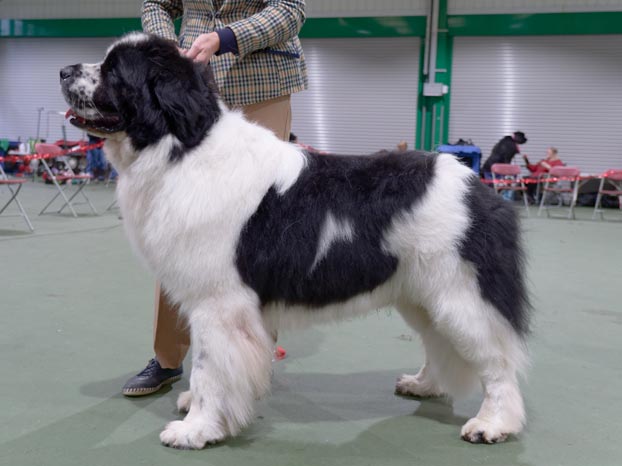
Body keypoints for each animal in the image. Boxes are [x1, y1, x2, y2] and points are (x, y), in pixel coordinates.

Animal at [61, 31, 532, 448]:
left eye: (113, 71)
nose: (64, 70)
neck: (182, 146)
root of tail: (481, 188)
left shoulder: (218, 302)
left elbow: (210, 367)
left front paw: (196, 429)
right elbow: (210, 365)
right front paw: (197, 408)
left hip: (461, 293)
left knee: (497, 361)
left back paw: (493, 424)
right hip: (422, 294)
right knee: (439, 343)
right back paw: (423, 384)